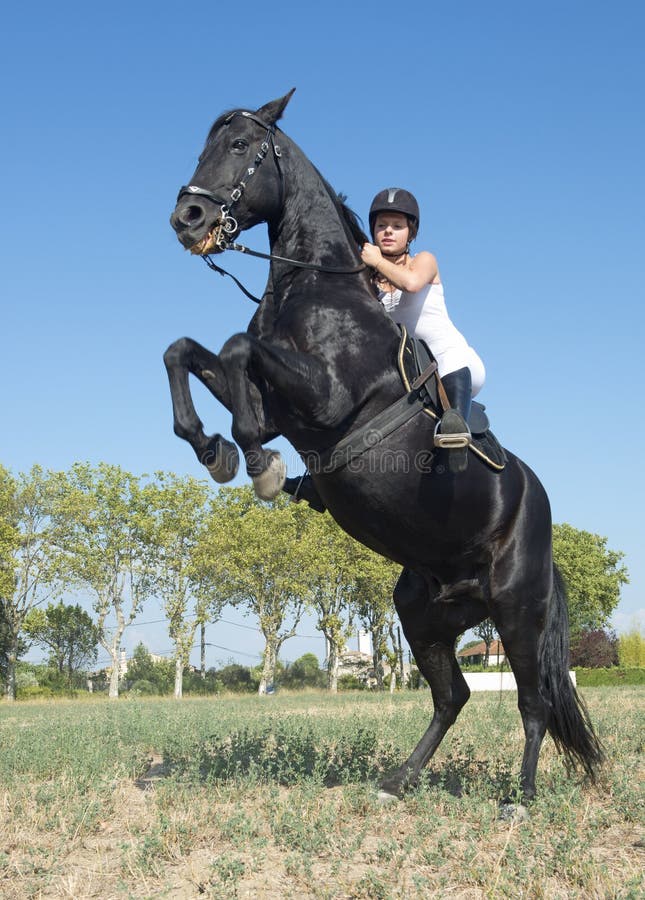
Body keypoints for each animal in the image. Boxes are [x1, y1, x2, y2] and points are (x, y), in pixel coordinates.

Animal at [164, 93, 600, 808]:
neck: (314, 287)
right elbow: (188, 352)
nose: (187, 217)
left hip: (517, 610)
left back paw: (521, 797)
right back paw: (397, 781)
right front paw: (214, 449)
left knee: (532, 702)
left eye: (240, 147)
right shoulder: (277, 401)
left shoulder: (325, 399)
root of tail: (541, 519)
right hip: (422, 614)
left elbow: (234, 348)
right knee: (452, 696)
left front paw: (258, 464)